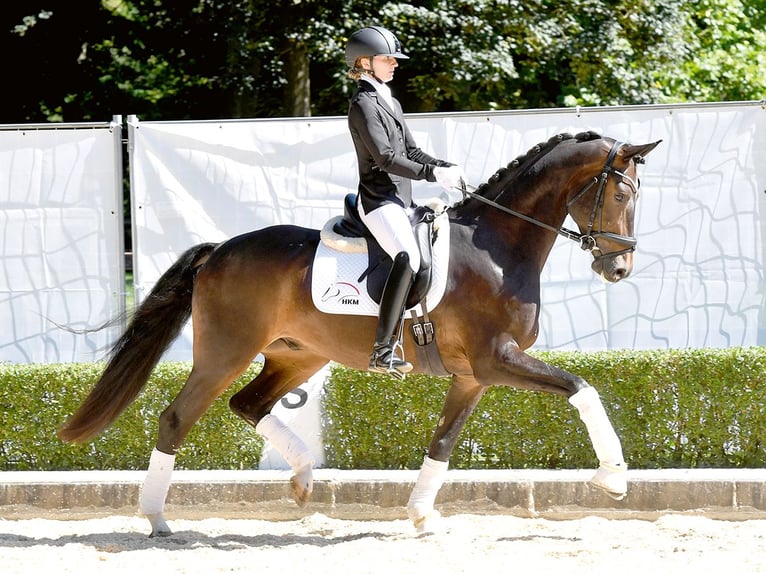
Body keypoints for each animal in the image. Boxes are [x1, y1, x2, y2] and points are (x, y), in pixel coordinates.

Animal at [58, 129, 660, 536]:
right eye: (621, 195)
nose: (619, 269)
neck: (496, 247)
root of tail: (220, 250)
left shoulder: (474, 375)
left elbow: (443, 441)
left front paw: (421, 517)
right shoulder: (497, 359)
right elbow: (583, 388)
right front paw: (614, 477)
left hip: (299, 355)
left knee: (248, 404)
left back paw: (303, 478)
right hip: (226, 352)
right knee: (177, 417)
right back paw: (157, 519)